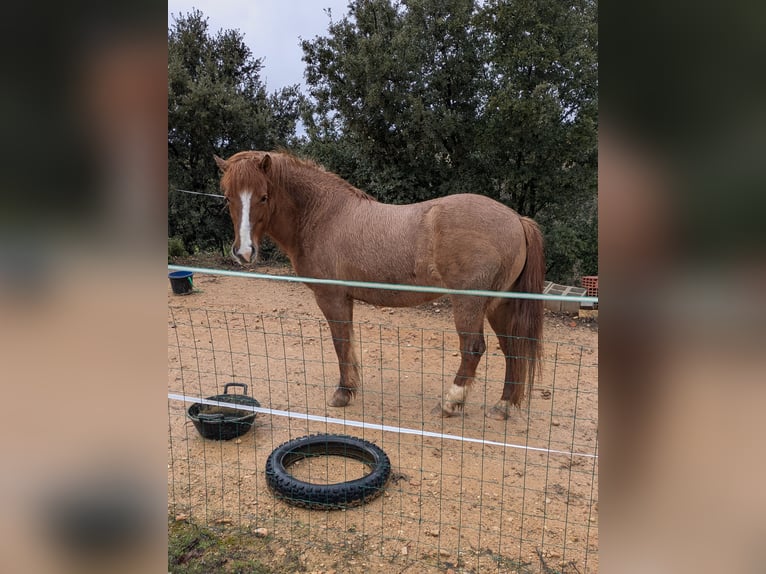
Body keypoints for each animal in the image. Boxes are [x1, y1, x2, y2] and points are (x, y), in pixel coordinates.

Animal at [214, 151, 545, 420]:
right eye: (228, 198)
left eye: (263, 197)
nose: (244, 252)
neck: (323, 216)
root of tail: (516, 219)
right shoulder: (344, 299)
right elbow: (347, 342)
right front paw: (350, 388)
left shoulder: (331, 297)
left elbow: (340, 342)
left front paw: (342, 394)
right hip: (499, 305)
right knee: (512, 349)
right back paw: (503, 406)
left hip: (469, 303)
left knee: (473, 349)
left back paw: (450, 403)